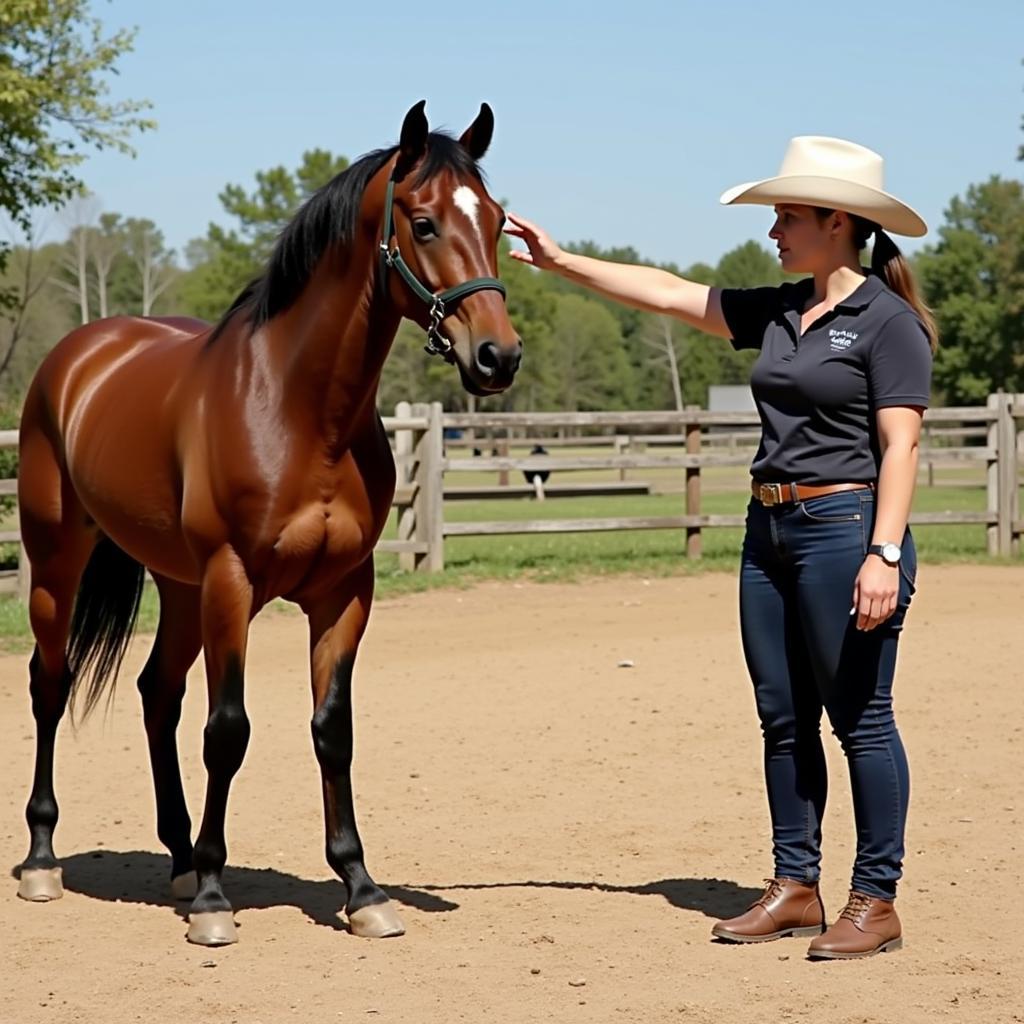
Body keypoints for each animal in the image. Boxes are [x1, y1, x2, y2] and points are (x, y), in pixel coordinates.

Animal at [18, 99, 520, 946]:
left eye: (498, 220)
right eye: (422, 223)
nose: (498, 356)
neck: (299, 411)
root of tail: (80, 354)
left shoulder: (345, 592)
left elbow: (332, 729)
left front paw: (361, 888)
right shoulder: (233, 580)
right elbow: (229, 730)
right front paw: (217, 903)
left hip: (179, 586)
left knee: (157, 693)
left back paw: (179, 859)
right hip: (61, 562)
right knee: (50, 685)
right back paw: (44, 860)